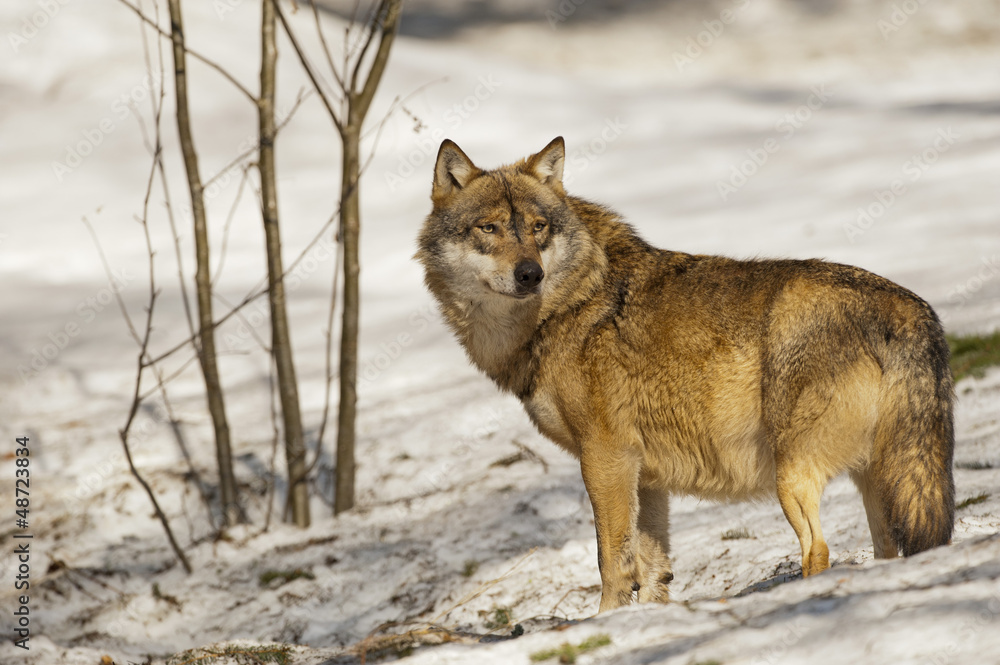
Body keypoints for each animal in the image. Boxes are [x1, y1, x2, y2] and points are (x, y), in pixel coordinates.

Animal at [416, 137, 955, 612]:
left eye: (538, 226)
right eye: (488, 228)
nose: (530, 273)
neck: (566, 305)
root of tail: (908, 309)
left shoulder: (605, 458)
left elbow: (612, 561)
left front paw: (606, 621)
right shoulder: (646, 475)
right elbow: (653, 569)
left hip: (794, 476)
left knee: (818, 550)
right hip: (877, 479)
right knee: (887, 550)